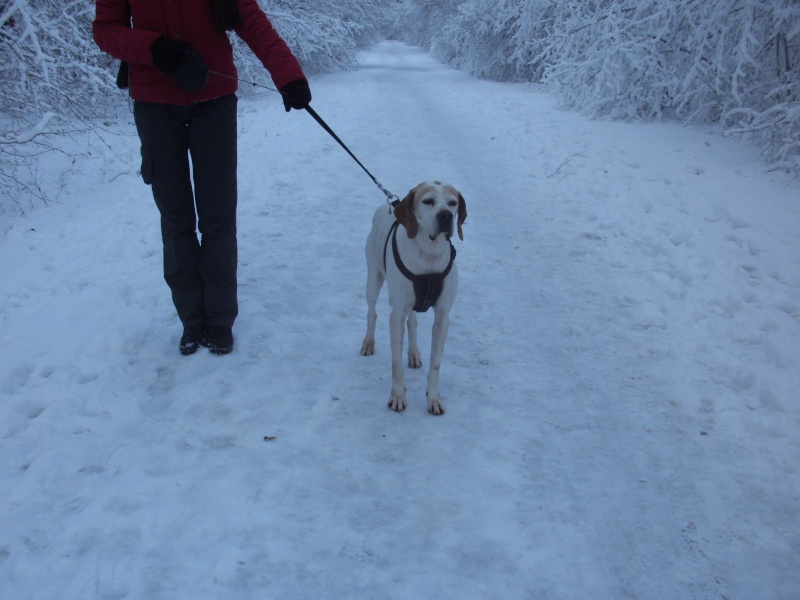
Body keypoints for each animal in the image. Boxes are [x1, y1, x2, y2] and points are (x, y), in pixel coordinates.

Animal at [360, 180, 466, 414]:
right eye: (428, 201)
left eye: (452, 203)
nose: (446, 216)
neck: (429, 254)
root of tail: (387, 205)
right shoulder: (396, 315)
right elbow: (396, 365)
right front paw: (397, 397)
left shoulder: (443, 317)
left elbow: (435, 365)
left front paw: (434, 399)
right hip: (373, 279)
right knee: (372, 312)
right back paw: (368, 343)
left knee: (413, 320)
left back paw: (414, 353)